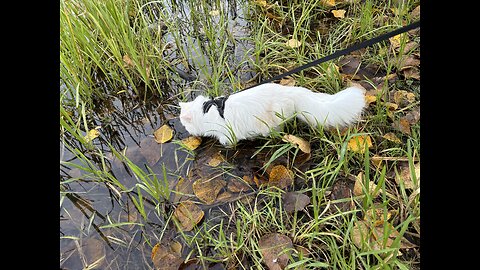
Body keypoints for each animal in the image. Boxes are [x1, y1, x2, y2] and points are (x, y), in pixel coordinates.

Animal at [178, 83, 366, 146]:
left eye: (184, 124)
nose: (185, 131)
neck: (206, 111)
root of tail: (291, 92)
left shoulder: (227, 135)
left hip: (272, 122)